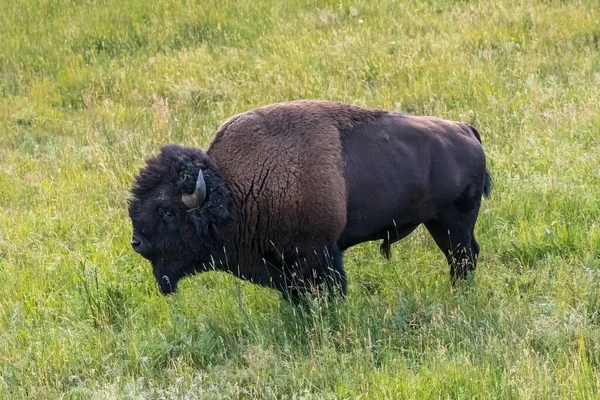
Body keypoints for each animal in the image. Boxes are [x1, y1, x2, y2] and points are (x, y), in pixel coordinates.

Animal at [129, 101, 490, 304]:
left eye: (167, 211)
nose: (137, 243)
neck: (234, 189)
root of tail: (465, 129)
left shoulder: (319, 255)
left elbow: (330, 288)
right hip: (438, 222)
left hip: (455, 220)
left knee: (463, 257)